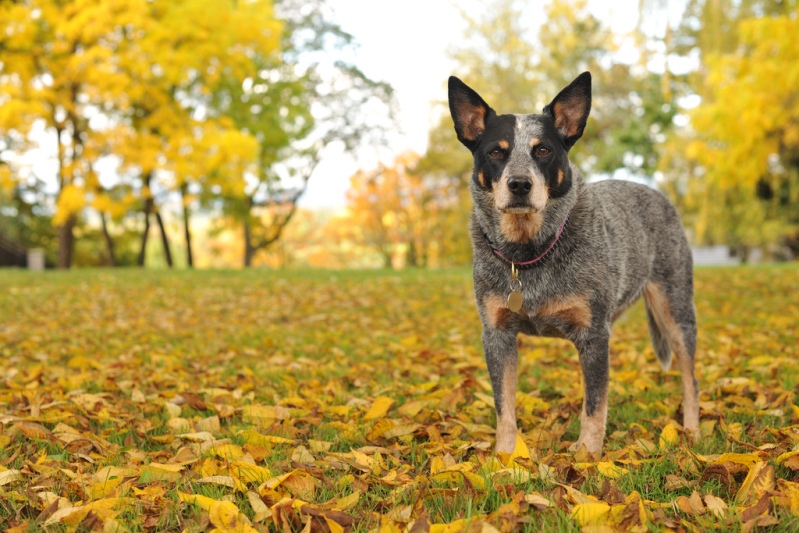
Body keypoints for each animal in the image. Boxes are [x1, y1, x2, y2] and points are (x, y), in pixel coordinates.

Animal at [450, 69, 700, 454]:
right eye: (495, 151)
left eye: (543, 150)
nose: (519, 184)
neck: (528, 254)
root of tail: (656, 194)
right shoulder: (496, 334)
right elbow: (504, 406)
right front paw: (504, 456)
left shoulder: (594, 335)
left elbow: (594, 405)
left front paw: (587, 456)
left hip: (676, 309)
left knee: (690, 377)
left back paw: (693, 431)